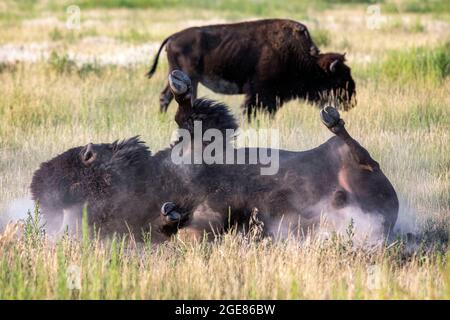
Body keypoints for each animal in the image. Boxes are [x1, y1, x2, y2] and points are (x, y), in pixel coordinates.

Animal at [148, 18, 356, 119]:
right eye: (339, 79)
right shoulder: (260, 93)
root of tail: (172, 37)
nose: (352, 102)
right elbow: (251, 110)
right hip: (188, 77)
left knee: (166, 97)